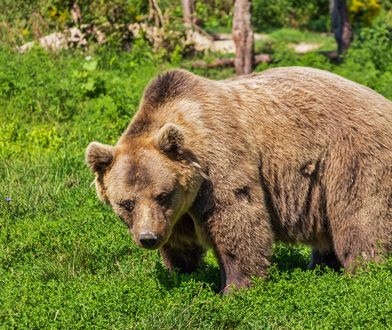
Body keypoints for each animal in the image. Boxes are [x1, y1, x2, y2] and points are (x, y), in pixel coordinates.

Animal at [86, 66, 392, 292]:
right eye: (126, 203)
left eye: (162, 195)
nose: (148, 238)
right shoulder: (180, 209)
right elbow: (181, 243)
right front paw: (183, 274)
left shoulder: (219, 163)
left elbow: (237, 220)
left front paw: (235, 288)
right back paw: (321, 266)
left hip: (353, 158)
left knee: (361, 218)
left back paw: (365, 272)